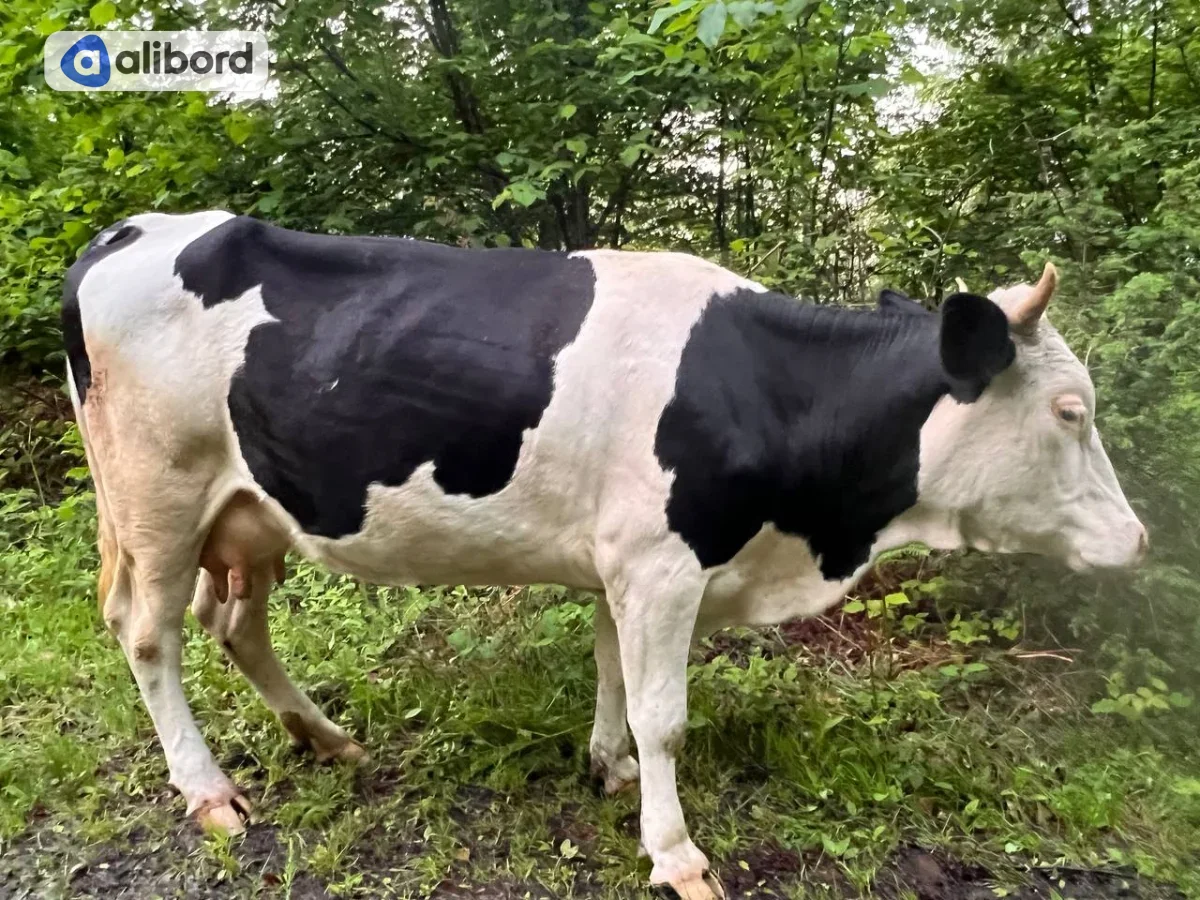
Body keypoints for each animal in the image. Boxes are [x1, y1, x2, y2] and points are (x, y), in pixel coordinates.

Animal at [62, 211, 1146, 900]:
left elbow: (611, 673)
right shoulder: (662, 564)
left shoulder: (620, 565)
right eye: (1071, 411)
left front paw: (609, 768)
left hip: (251, 514)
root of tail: (132, 231)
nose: (1137, 540)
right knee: (150, 636)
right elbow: (666, 716)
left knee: (232, 622)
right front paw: (677, 854)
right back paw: (210, 793)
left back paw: (326, 739)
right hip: (158, 499)